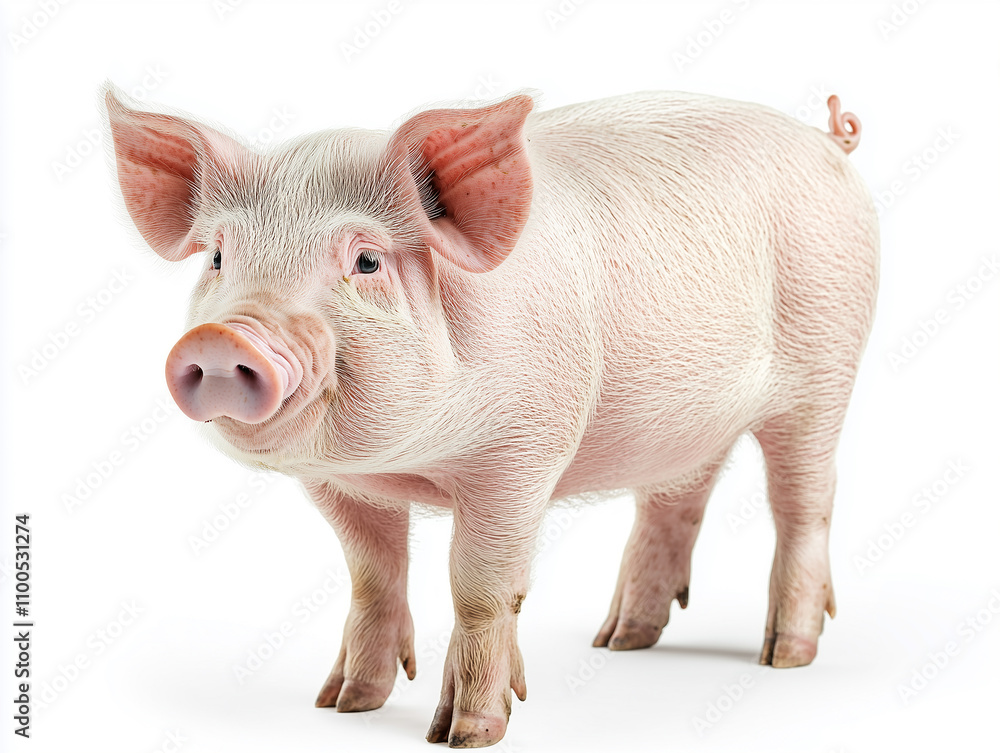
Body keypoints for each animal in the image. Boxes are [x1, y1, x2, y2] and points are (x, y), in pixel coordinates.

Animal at [104, 84, 878, 748]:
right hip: (688, 421)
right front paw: (344, 704)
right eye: (218, 256)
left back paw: (783, 656)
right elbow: (371, 574)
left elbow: (481, 588)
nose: (223, 337)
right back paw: (620, 638)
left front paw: (464, 733)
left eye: (366, 261)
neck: (410, 462)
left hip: (827, 363)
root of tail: (826, 141)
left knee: (804, 502)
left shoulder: (520, 456)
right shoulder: (339, 483)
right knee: (676, 500)